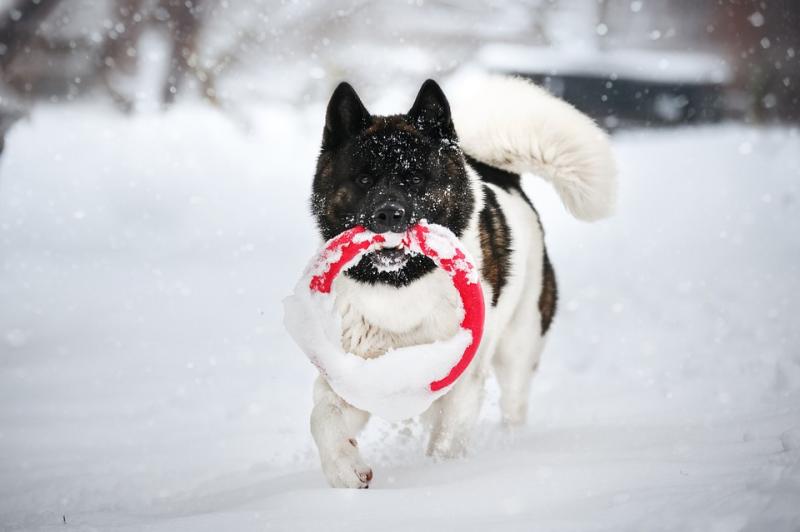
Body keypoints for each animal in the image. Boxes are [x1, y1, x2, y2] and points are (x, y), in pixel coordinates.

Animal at [310, 74, 616, 486]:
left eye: (415, 178)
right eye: (363, 178)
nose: (389, 214)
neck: (400, 285)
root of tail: (503, 175)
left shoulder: (462, 382)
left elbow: (446, 442)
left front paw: (442, 478)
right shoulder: (353, 370)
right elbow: (324, 417)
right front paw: (344, 469)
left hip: (520, 343)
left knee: (514, 402)